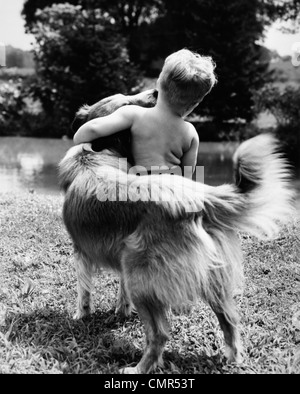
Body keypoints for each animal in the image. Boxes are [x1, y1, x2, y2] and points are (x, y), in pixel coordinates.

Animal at [59, 88, 296, 372]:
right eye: (126, 98)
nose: (154, 92)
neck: (97, 151)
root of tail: (198, 199)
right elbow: (120, 290)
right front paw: (121, 310)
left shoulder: (80, 250)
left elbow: (83, 289)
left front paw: (80, 315)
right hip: (208, 275)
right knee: (229, 319)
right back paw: (232, 357)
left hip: (140, 272)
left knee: (160, 334)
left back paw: (138, 368)